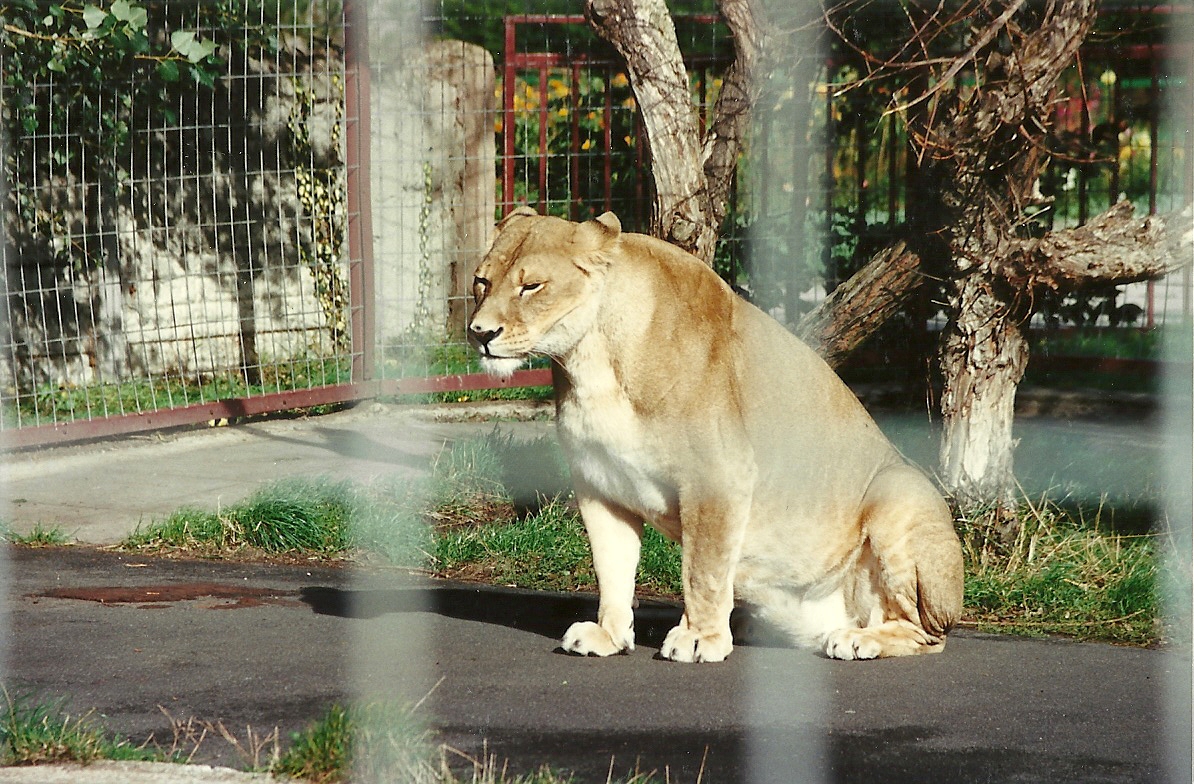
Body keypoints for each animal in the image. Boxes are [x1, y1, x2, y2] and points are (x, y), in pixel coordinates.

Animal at [467, 207, 964, 661]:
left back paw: (861, 639)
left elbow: (701, 570)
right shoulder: (600, 485)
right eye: (482, 282)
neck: (591, 358)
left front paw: (698, 638)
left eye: (531, 286)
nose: (480, 332)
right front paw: (609, 635)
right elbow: (612, 567)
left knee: (926, 633)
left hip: (900, 493)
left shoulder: (718, 476)